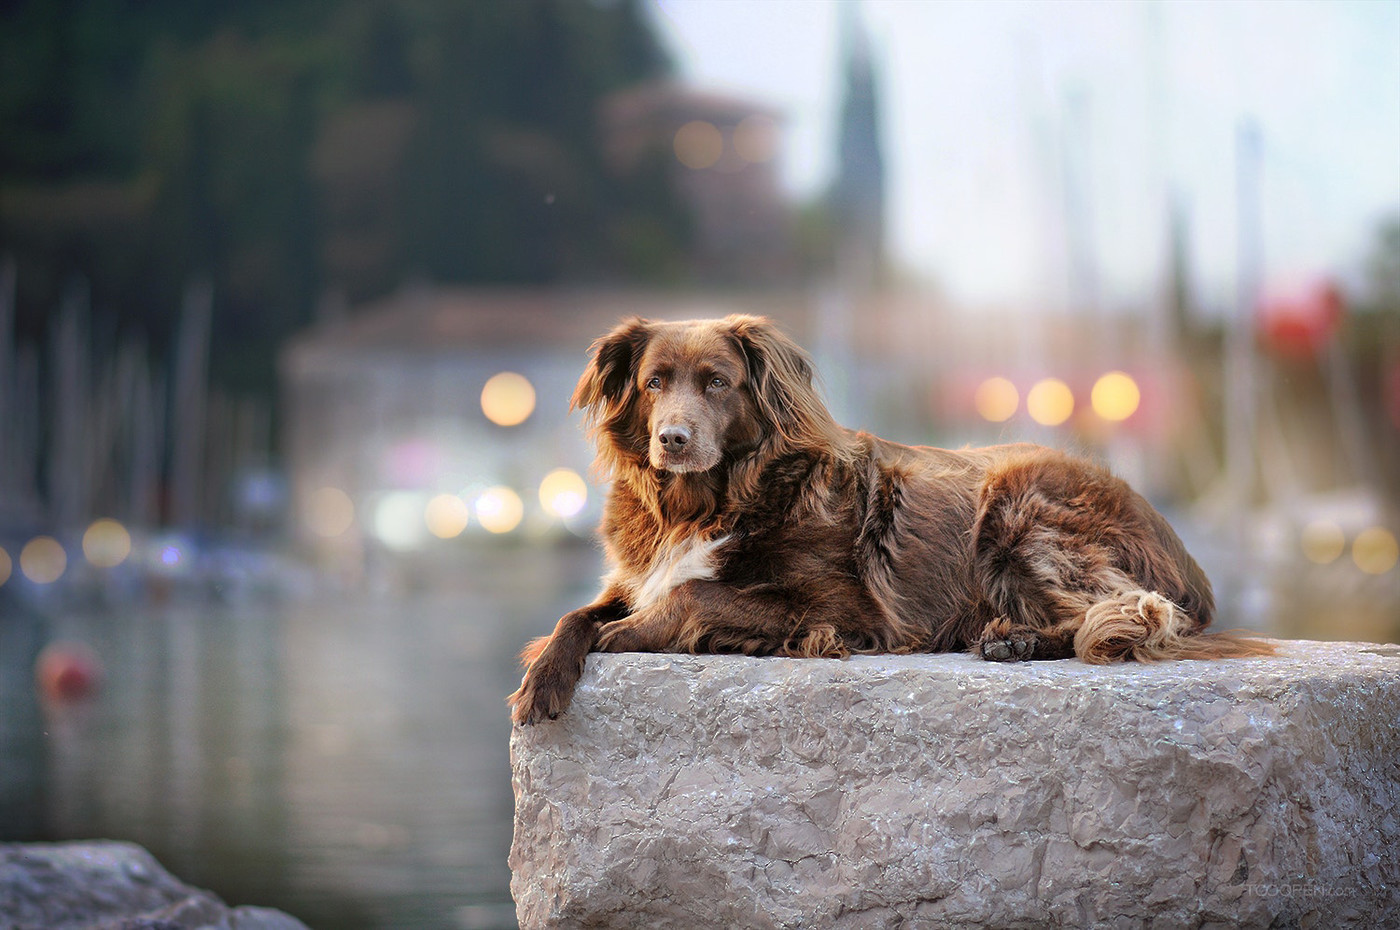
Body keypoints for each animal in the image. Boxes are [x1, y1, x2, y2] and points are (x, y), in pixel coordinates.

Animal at [509, 316, 1276, 722]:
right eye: (654, 384)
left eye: (718, 384)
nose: (673, 439)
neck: (706, 502)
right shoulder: (633, 576)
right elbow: (576, 614)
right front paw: (543, 676)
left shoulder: (848, 608)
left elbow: (693, 594)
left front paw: (625, 634)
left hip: (1017, 509)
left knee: (1128, 611)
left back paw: (1016, 639)